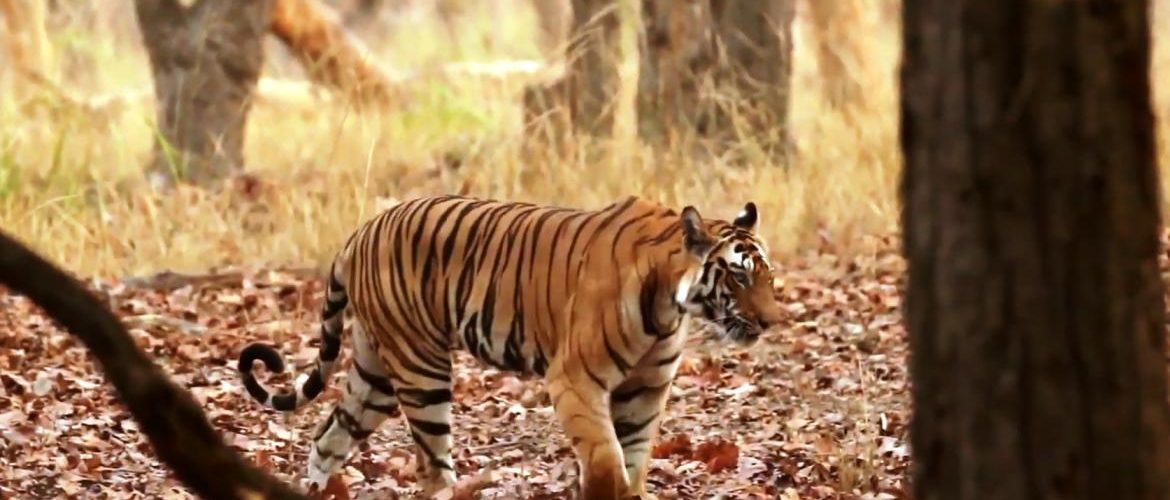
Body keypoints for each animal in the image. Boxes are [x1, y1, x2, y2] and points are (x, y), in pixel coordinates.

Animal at [237, 194, 783, 499]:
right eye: (738, 275)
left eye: (768, 276)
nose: (772, 320)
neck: (671, 306)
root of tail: (359, 233)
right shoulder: (575, 379)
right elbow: (606, 465)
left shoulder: (644, 392)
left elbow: (634, 465)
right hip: (420, 368)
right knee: (432, 469)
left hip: (375, 374)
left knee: (328, 436)